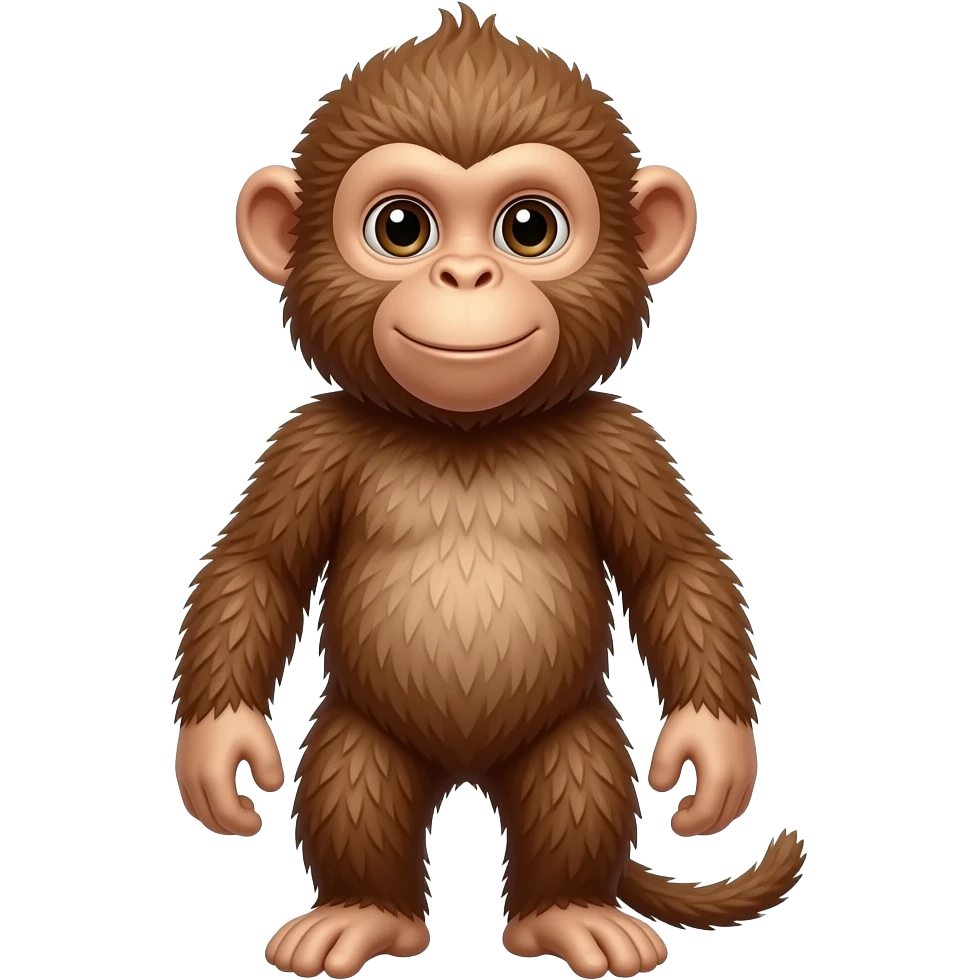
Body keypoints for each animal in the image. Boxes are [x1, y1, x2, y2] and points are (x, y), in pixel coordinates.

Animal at [173, 6, 806, 979]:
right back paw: (364, 914)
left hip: (570, 736)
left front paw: (713, 750)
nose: (466, 277)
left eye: (529, 229)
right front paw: (218, 750)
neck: (467, 434)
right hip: (365, 735)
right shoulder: (307, 443)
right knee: (356, 782)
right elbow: (255, 567)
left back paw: (568, 914)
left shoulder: (622, 443)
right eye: (402, 227)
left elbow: (677, 567)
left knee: (576, 783)